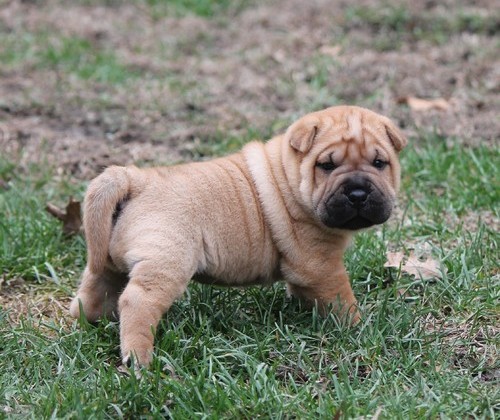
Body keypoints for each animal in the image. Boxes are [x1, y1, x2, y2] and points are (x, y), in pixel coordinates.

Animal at [69, 106, 406, 368]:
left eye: (379, 163)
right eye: (327, 165)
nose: (358, 192)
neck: (289, 178)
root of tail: (135, 179)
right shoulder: (321, 265)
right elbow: (342, 300)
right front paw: (358, 328)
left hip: (106, 260)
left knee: (94, 289)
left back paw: (85, 324)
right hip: (166, 263)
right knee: (137, 302)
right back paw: (139, 359)